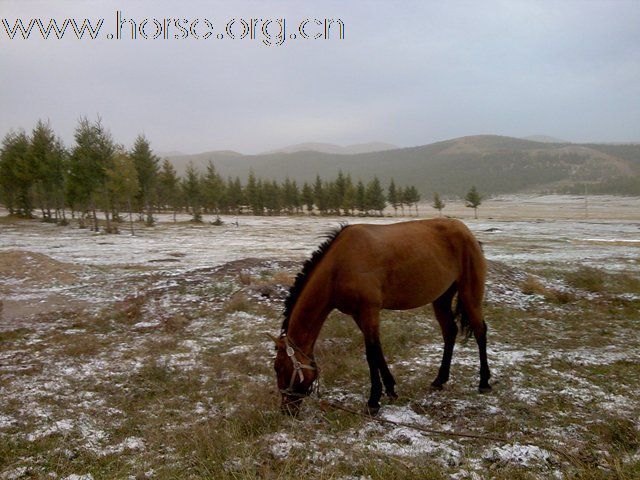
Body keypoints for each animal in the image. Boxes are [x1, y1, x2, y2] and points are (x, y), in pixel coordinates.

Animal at [270, 218, 490, 416]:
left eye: (279, 368)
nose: (286, 411)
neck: (339, 265)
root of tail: (467, 232)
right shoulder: (359, 315)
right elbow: (377, 351)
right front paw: (390, 390)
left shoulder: (369, 311)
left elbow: (371, 354)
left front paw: (373, 402)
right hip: (441, 299)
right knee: (450, 332)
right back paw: (439, 380)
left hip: (470, 294)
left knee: (480, 331)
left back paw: (484, 382)